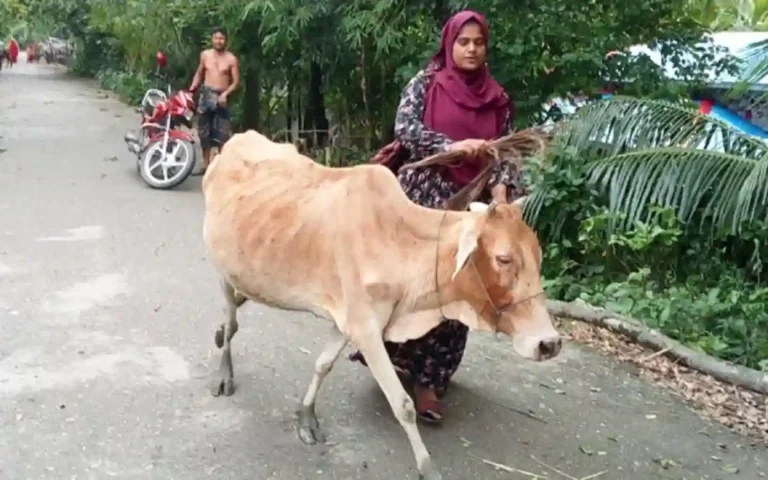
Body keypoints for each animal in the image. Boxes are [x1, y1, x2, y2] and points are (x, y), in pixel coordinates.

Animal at [202, 130, 562, 480]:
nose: (550, 343)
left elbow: (322, 364)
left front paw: (306, 419)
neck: (399, 243)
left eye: (538, 256)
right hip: (223, 270)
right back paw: (224, 371)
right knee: (231, 320)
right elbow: (402, 404)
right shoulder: (366, 329)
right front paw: (428, 469)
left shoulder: (347, 321)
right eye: (504, 259)